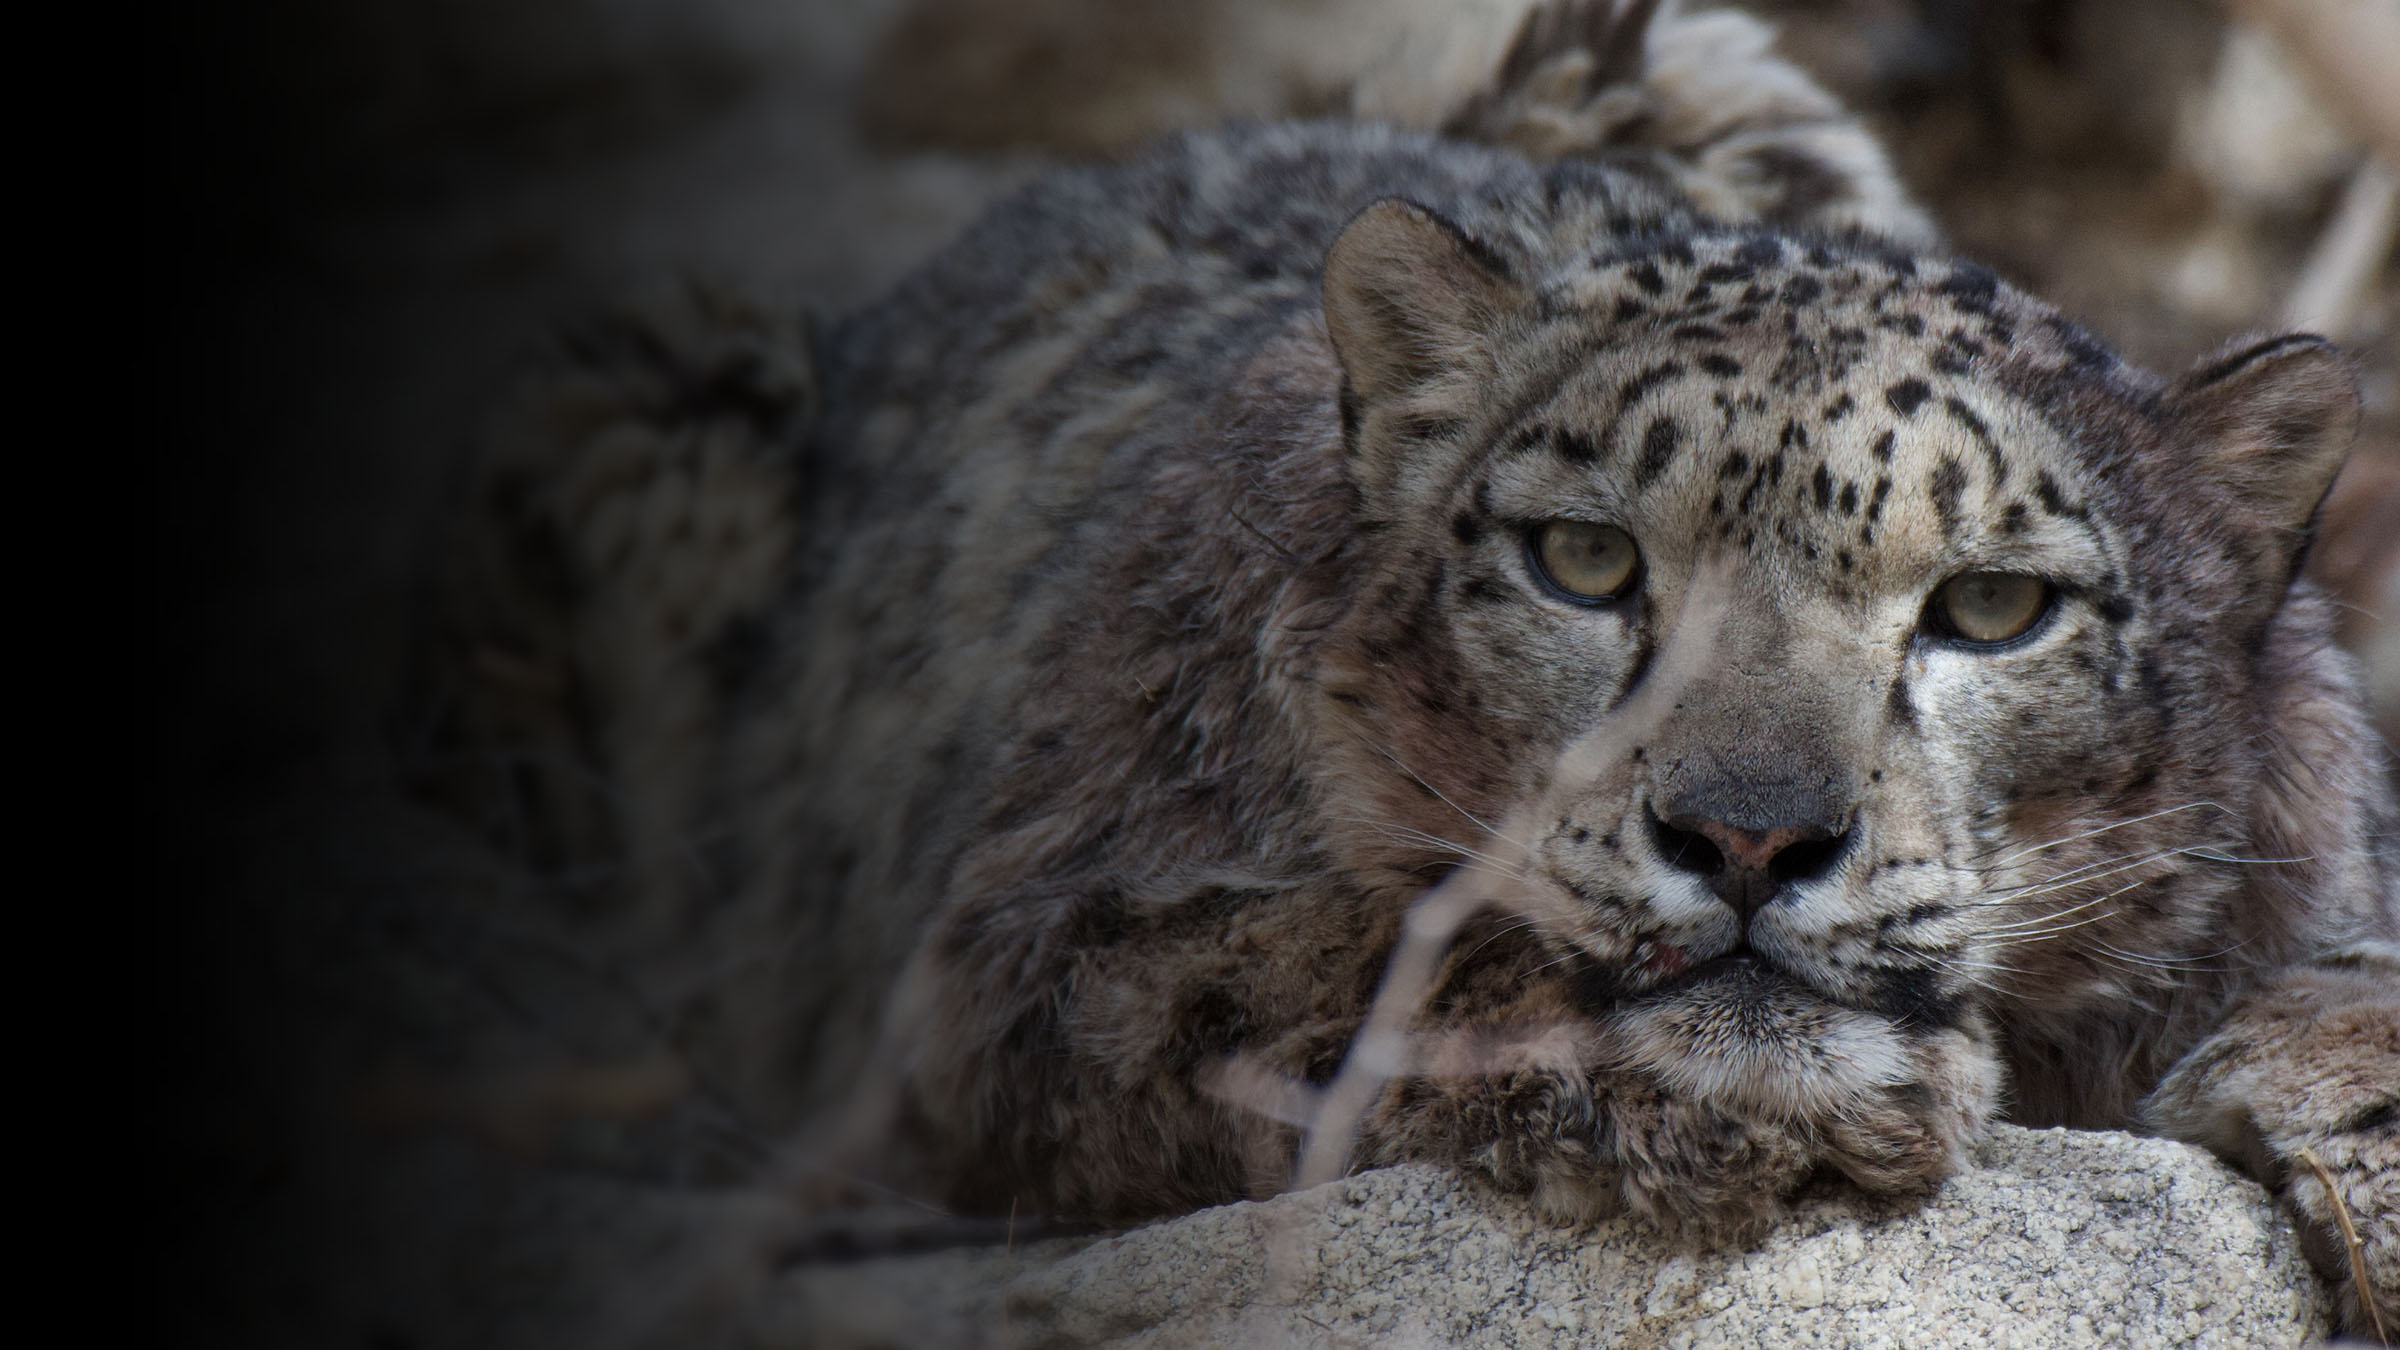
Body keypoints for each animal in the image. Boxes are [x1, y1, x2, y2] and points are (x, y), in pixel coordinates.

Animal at [415, 0, 2399, 1331]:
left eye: (1991, 608)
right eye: (1583, 561)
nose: (1751, 840)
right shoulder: (1030, 962)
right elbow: (1353, 967)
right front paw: (1748, 1085)